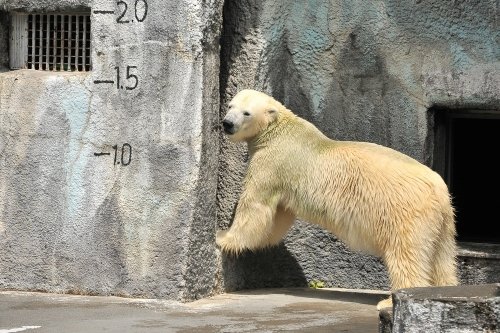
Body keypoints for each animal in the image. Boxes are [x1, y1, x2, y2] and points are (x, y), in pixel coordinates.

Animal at [217, 88, 458, 308]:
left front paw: (223, 238)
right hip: (443, 221)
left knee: (407, 255)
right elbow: (279, 216)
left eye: (246, 112)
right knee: (442, 258)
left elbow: (255, 205)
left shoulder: (271, 162)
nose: (227, 123)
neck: (278, 129)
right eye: (230, 105)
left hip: (405, 214)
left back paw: (391, 301)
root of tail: (437, 187)